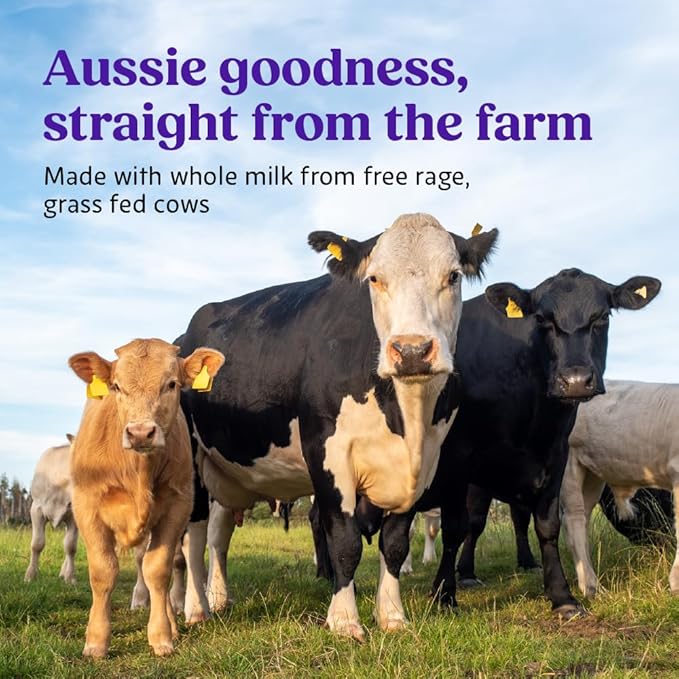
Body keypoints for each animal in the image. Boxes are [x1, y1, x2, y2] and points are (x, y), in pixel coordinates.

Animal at [24, 434, 78, 584]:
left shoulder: (74, 516)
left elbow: (70, 546)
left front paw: (70, 577)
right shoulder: (36, 509)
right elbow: (37, 543)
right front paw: (30, 575)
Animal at [67, 338, 224, 658]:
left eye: (172, 384)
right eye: (116, 386)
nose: (140, 432)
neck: (136, 471)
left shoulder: (178, 506)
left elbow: (158, 569)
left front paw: (162, 636)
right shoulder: (86, 504)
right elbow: (103, 571)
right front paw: (96, 641)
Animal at [178, 213, 498, 639]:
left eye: (453, 276)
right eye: (375, 278)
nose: (412, 350)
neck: (406, 418)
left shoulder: (423, 463)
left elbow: (395, 543)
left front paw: (392, 615)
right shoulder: (327, 453)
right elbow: (345, 541)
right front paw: (345, 620)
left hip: (229, 471)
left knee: (218, 535)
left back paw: (217, 598)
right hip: (191, 462)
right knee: (193, 538)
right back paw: (196, 608)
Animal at [403, 268, 661, 618]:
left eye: (602, 318)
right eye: (541, 320)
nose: (575, 381)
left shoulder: (555, 454)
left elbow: (545, 524)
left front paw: (561, 595)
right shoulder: (462, 456)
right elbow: (460, 525)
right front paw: (445, 592)